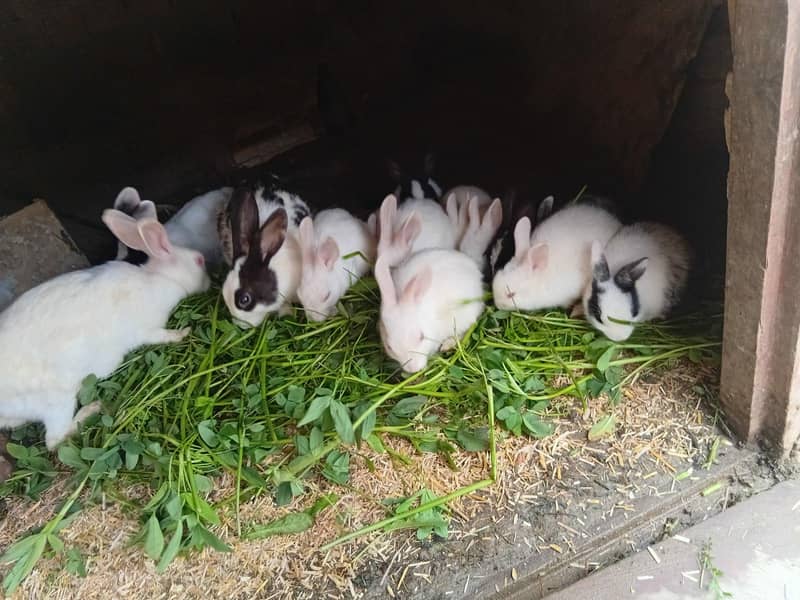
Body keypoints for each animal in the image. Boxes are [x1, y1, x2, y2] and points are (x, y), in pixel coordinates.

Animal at [0, 209, 210, 450]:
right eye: (200, 260)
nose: (210, 281)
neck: (160, 278)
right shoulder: (148, 329)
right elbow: (162, 336)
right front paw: (183, 332)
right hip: (58, 400)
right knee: (55, 440)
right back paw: (92, 409)